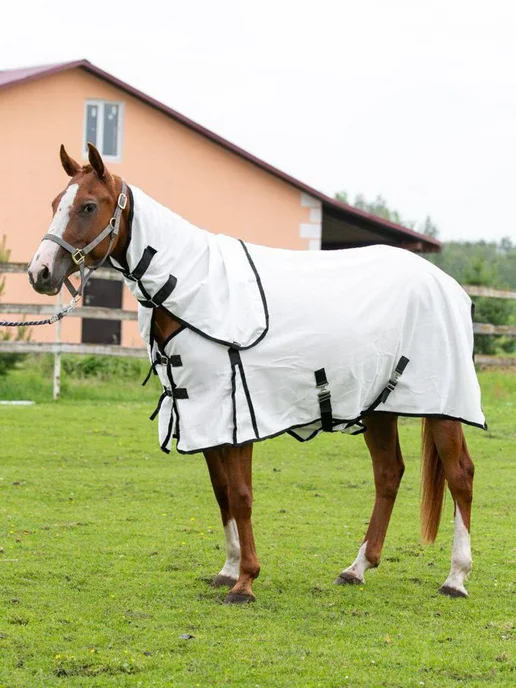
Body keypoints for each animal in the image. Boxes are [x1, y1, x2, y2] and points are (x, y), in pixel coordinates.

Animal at [28, 143, 481, 604]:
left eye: (88, 205)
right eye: (54, 203)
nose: (40, 272)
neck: (191, 291)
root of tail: (447, 285)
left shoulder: (235, 415)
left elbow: (241, 495)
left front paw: (245, 581)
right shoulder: (203, 416)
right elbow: (222, 493)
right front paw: (228, 570)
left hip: (442, 406)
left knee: (460, 475)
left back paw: (455, 577)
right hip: (379, 407)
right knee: (389, 474)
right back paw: (357, 568)